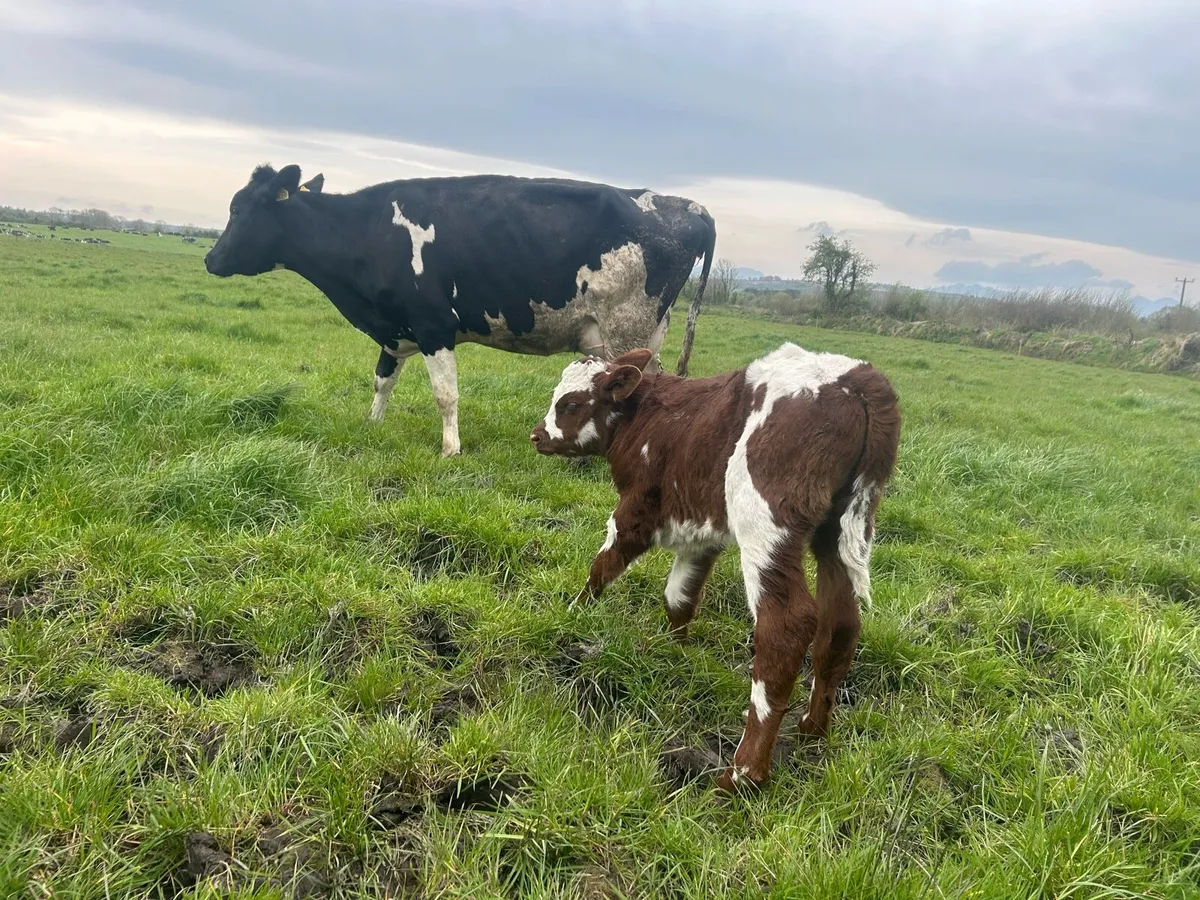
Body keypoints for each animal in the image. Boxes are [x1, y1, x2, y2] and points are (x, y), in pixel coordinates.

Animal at [204, 164, 716, 456]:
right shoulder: (396, 329)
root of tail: (687, 204)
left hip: (627, 327)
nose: (211, 259)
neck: (367, 232)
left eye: (238, 210)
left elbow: (445, 395)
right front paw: (372, 425)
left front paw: (450, 450)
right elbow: (382, 381)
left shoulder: (433, 326)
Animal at [530, 342, 901, 791]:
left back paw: (743, 774)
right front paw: (673, 650)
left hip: (766, 523)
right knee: (840, 621)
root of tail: (856, 380)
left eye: (570, 403)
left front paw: (573, 614)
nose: (536, 435)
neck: (645, 417)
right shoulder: (699, 529)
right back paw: (812, 729)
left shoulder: (637, 509)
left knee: (787, 624)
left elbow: (604, 565)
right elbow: (679, 596)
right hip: (844, 527)